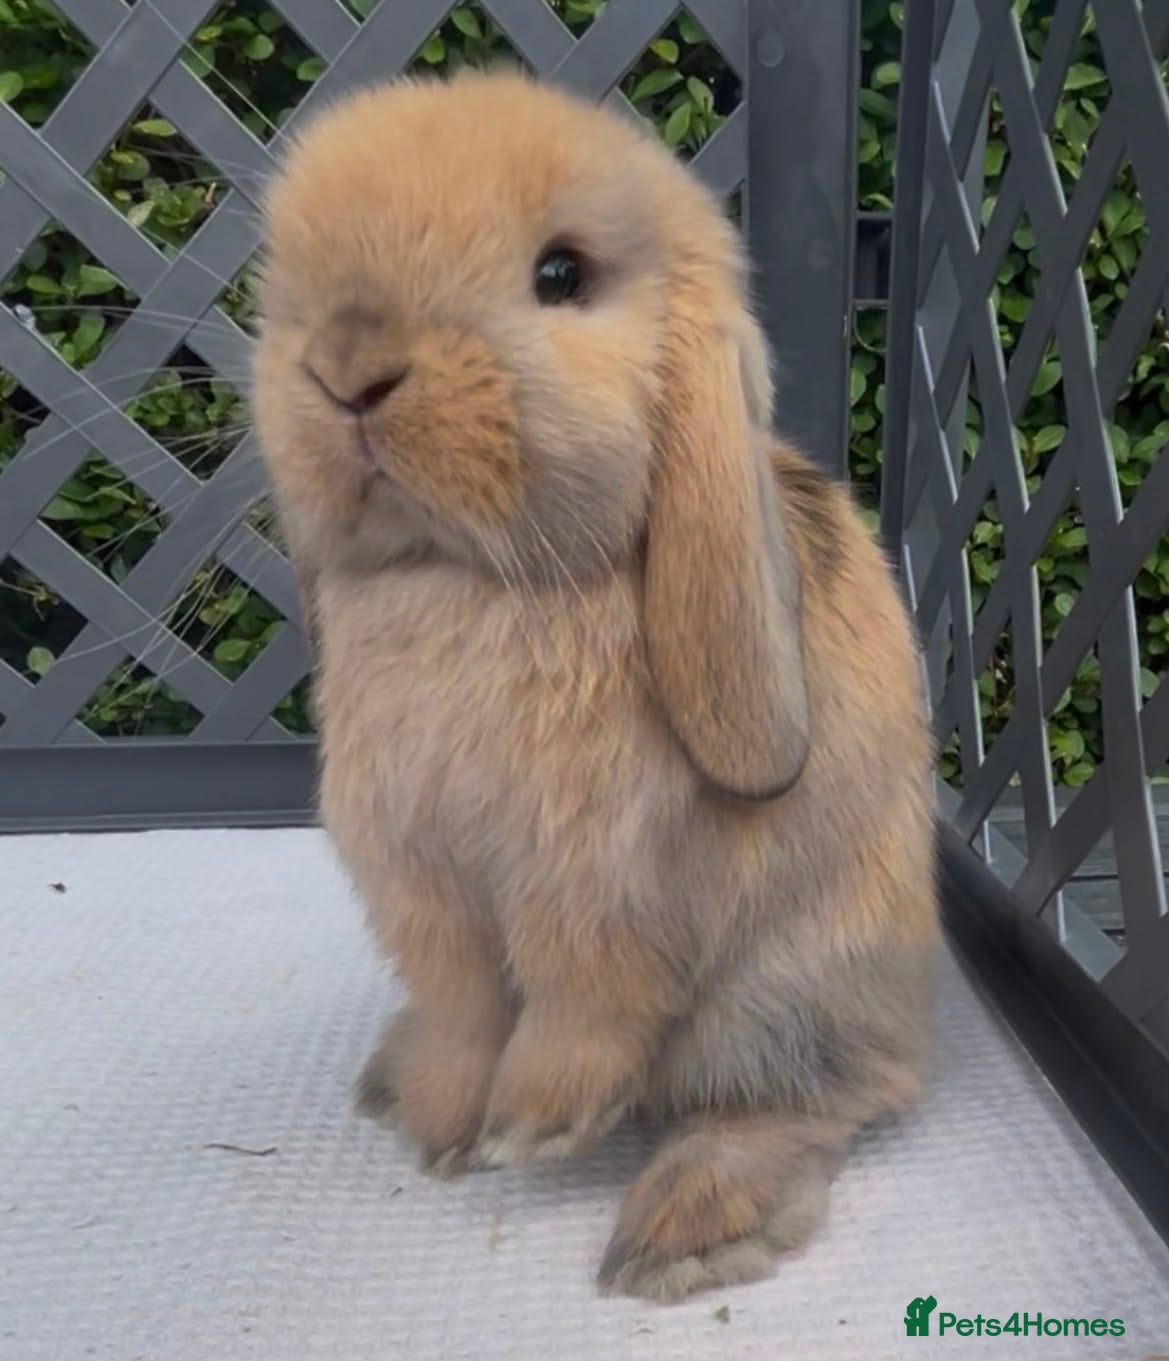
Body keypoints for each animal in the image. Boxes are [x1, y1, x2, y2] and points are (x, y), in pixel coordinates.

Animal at [251, 68, 940, 1303]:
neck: (468, 579)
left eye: (559, 275)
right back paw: (391, 1076)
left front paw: (533, 1127)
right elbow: (462, 1003)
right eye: (285, 285)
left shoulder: (598, 883)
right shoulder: (421, 879)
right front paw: (443, 1123)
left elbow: (583, 999)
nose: (346, 367)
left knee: (810, 1103)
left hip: (783, 995)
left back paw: (685, 1230)